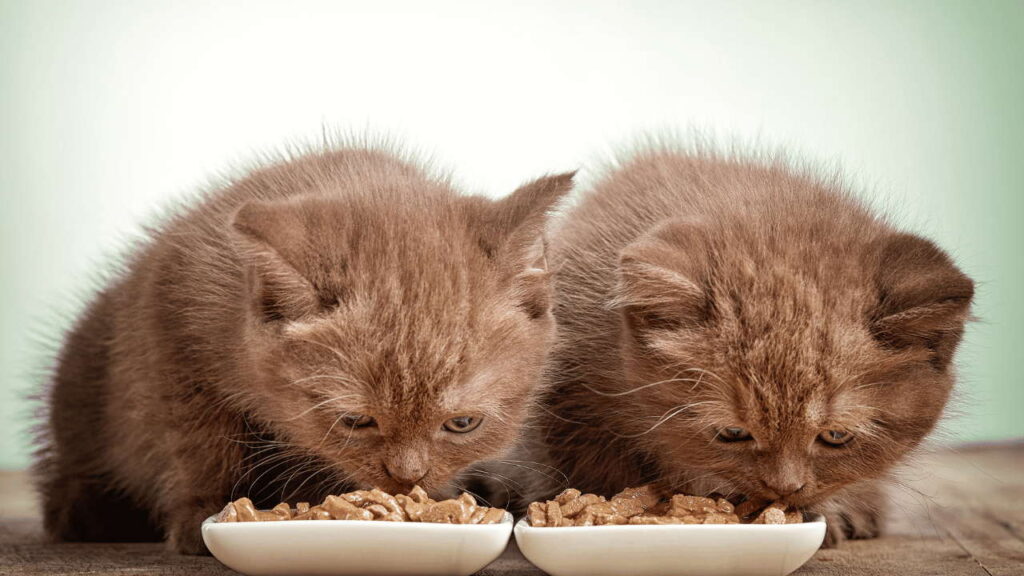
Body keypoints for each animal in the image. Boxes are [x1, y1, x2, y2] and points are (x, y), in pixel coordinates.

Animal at [34, 143, 577, 553]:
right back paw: (87, 510)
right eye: (356, 420)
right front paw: (201, 515)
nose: (407, 477)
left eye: (463, 423)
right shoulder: (171, 320)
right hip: (80, 375)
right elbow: (199, 441)